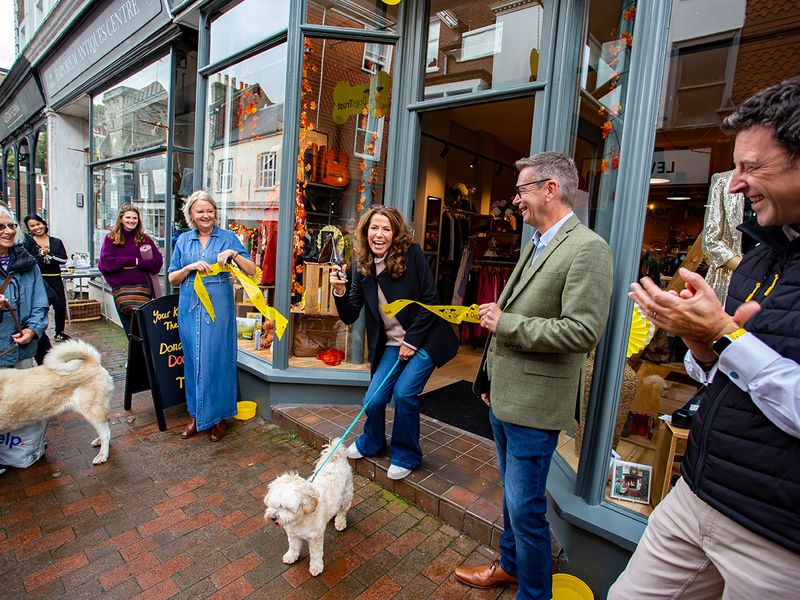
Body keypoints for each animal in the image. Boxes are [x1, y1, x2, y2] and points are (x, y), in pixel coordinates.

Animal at [266, 438, 354, 576]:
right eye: (273, 504)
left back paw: (340, 522)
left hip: (346, 494)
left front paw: (316, 567)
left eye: (286, 507)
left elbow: (316, 554)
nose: (273, 517)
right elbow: (293, 547)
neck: (300, 519)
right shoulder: (293, 534)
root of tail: (336, 458)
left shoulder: (315, 538)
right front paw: (291, 556)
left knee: (342, 511)